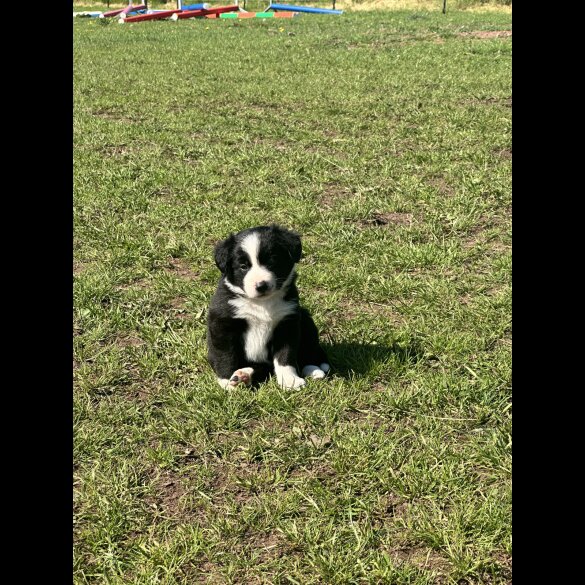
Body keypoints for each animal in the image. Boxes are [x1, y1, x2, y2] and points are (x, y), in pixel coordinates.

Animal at [208, 224, 328, 388]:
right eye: (243, 266)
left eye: (272, 261)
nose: (261, 285)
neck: (261, 303)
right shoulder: (222, 324)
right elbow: (225, 355)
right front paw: (227, 381)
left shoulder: (287, 322)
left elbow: (286, 356)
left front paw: (290, 380)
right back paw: (242, 376)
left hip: (305, 319)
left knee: (308, 350)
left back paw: (313, 369)